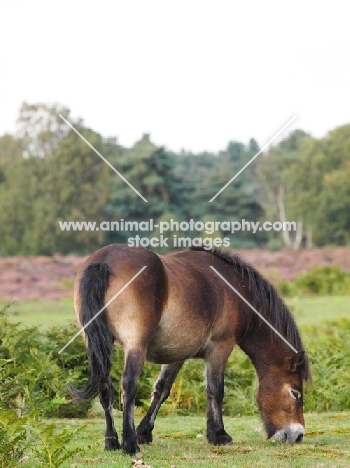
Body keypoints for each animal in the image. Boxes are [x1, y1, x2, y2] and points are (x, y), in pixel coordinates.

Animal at [71, 243, 312, 456]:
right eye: (295, 393)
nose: (298, 435)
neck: (235, 288)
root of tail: (104, 261)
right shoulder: (220, 347)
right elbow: (215, 389)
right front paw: (218, 434)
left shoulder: (176, 355)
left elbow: (162, 390)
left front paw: (144, 432)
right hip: (135, 346)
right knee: (128, 385)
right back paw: (129, 445)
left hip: (97, 345)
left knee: (105, 389)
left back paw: (111, 441)